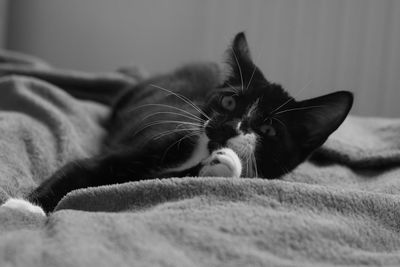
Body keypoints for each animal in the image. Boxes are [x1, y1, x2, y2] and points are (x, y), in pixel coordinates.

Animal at [2, 31, 354, 216]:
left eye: (268, 129)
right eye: (229, 102)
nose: (229, 126)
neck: (196, 153)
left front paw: (225, 166)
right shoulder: (153, 144)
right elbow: (77, 169)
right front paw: (22, 209)